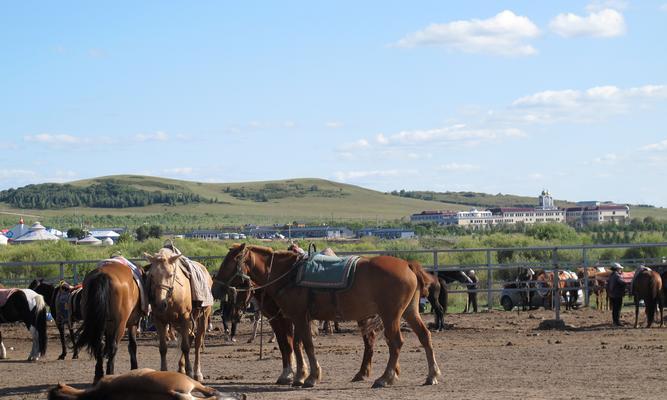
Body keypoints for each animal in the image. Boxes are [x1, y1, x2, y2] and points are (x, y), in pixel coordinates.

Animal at [145, 247, 213, 382]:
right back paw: (181, 368)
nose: (160, 304)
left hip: (203, 317)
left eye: (171, 275)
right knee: (190, 337)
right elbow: (163, 348)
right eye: (152, 275)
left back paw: (197, 373)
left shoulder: (185, 318)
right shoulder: (159, 321)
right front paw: (164, 371)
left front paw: (190, 371)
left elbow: (185, 347)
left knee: (197, 341)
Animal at [217, 242, 440, 390]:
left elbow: (303, 345)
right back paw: (431, 375)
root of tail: (408, 265)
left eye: (229, 262)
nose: (215, 287)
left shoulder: (296, 317)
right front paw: (299, 376)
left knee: (395, 343)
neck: (289, 275)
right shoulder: (298, 318)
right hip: (409, 312)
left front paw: (311, 377)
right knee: (425, 337)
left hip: (391, 315)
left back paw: (385, 378)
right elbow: (297, 345)